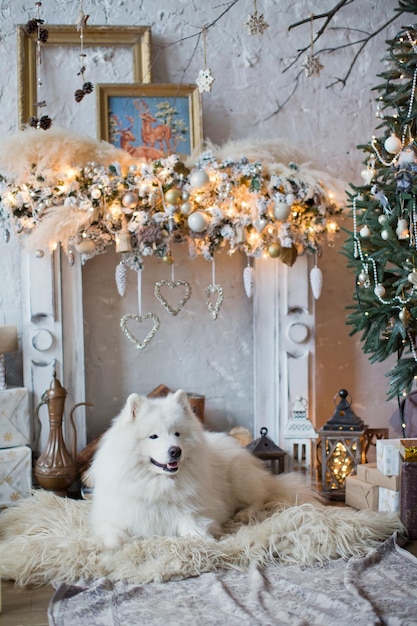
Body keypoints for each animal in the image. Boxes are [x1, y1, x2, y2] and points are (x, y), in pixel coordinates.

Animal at [89, 390, 314, 544]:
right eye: (153, 436)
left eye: (177, 434)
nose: (175, 451)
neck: (159, 486)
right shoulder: (113, 517)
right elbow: (115, 537)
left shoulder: (192, 511)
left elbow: (193, 527)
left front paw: (206, 540)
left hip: (239, 475)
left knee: (260, 498)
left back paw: (244, 514)